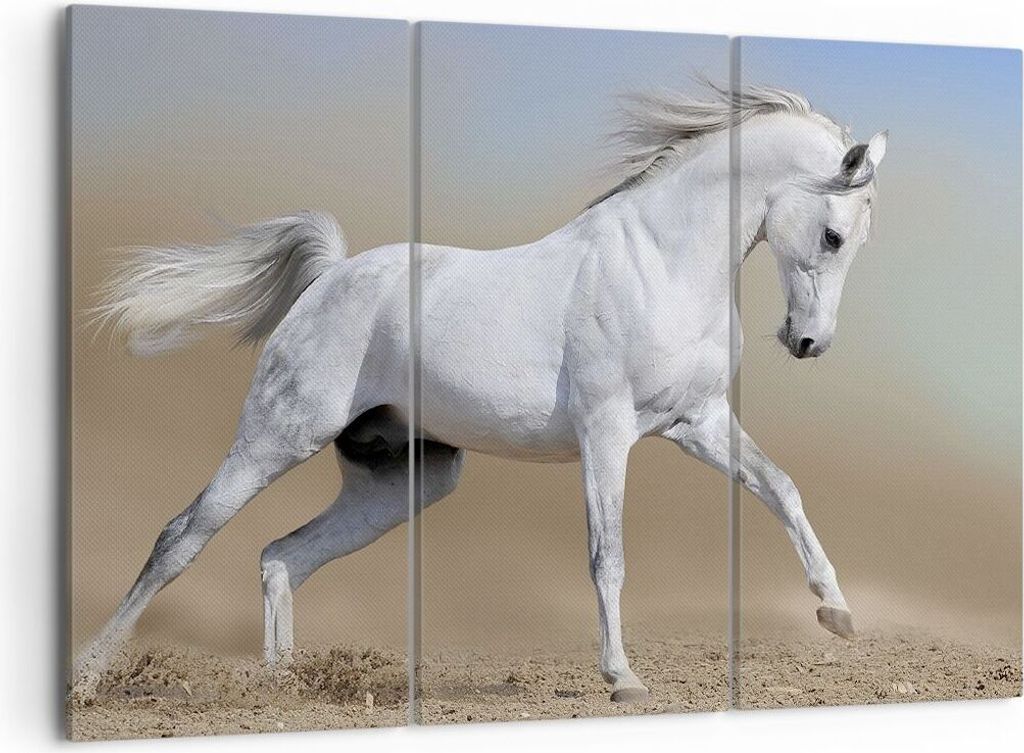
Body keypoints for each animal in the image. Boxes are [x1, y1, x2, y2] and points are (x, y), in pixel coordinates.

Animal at [73, 85, 887, 704]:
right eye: (835, 235)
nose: (808, 342)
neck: (661, 263)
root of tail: (330, 277)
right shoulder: (606, 432)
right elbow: (608, 554)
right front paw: (622, 678)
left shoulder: (699, 422)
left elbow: (781, 488)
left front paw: (838, 612)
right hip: (277, 436)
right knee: (181, 537)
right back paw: (89, 675)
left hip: (405, 479)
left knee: (282, 556)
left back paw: (282, 686)